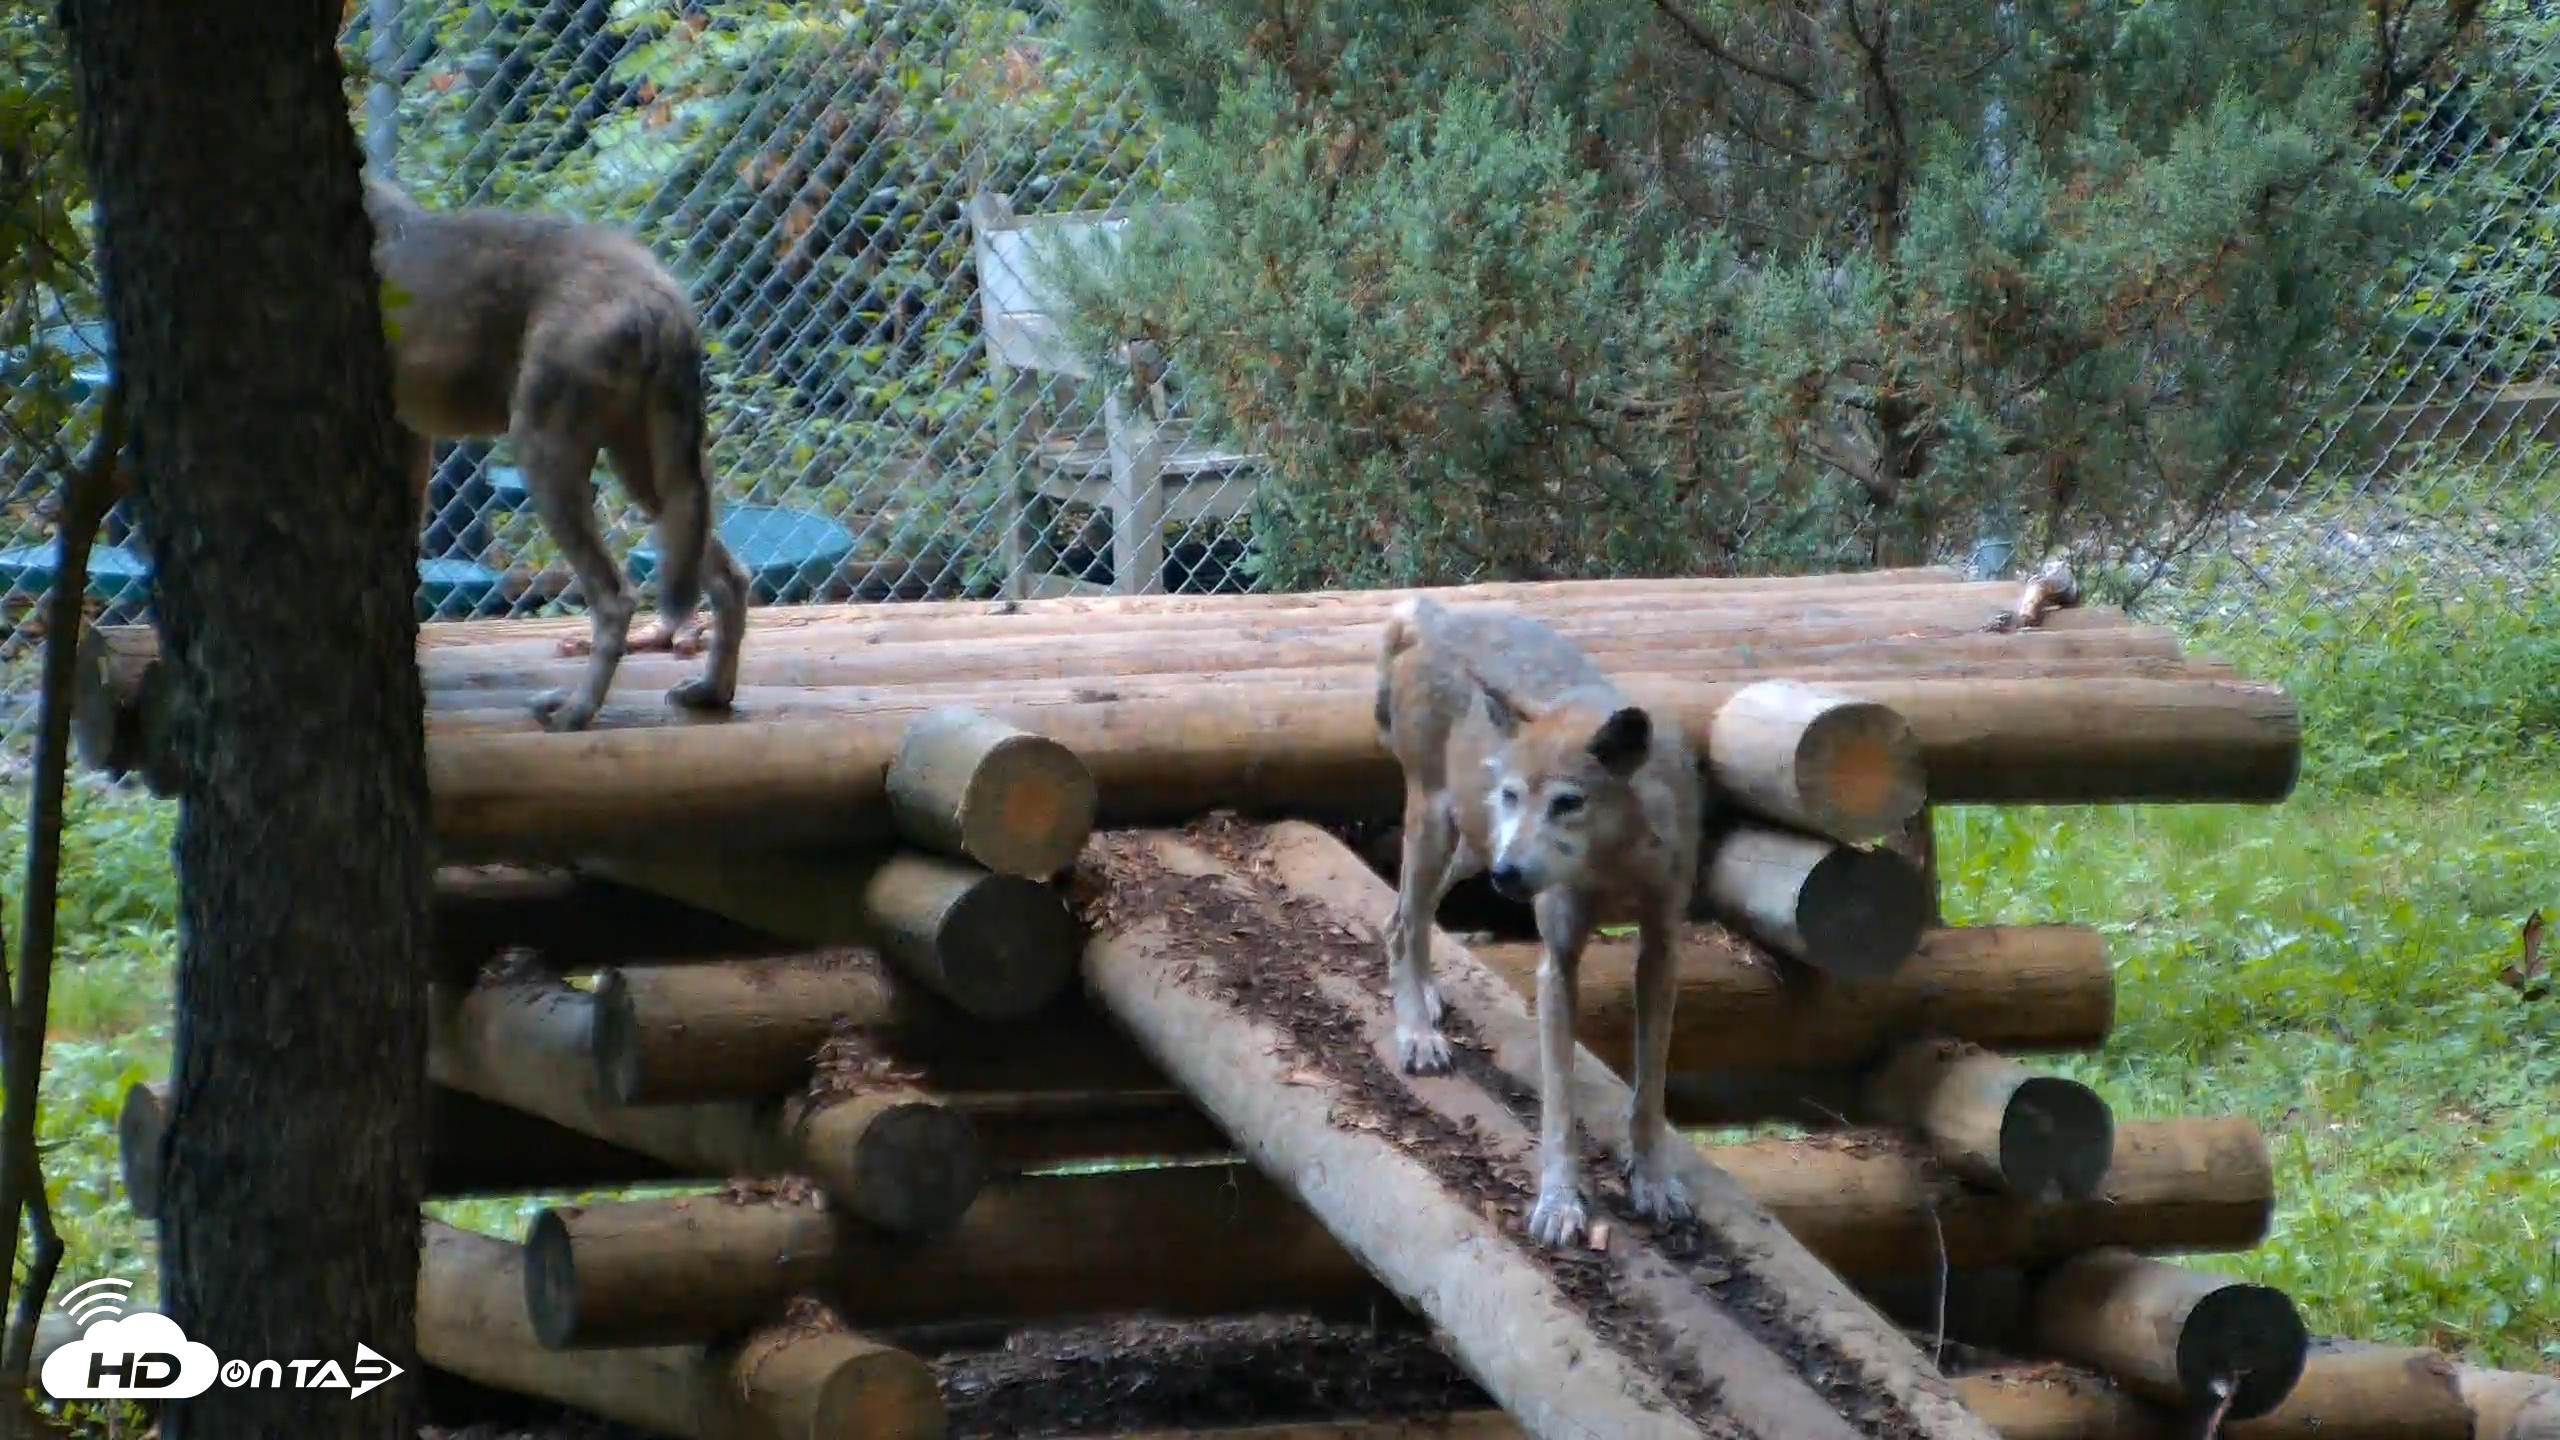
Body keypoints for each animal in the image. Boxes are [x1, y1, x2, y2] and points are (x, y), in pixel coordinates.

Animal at [363, 176, 751, 732]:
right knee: (729, 579)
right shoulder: (411, 437)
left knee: (616, 598)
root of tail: (663, 297)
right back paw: (710, 693)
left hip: (544, 459)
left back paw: (574, 711)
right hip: (647, 479)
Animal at [1374, 595, 1707, 1248]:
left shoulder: (1662, 952)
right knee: (1402, 923)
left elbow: (1650, 1091)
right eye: (1512, 795)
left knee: (1407, 917)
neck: (1613, 866)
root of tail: (1435, 614)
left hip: (1470, 849)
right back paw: (1418, 1037)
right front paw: (1559, 1204)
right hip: (1444, 829)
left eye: (1567, 803)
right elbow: (1558, 1103)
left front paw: (1654, 1182)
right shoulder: (1557, 963)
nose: (1510, 875)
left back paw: (1426, 997)